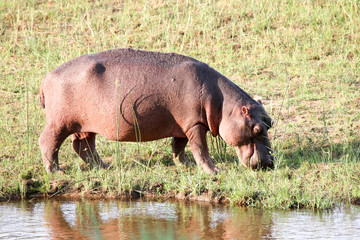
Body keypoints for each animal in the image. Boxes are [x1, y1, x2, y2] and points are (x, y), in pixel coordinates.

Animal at [38, 48, 272, 174]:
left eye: (270, 122)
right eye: (257, 129)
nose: (270, 163)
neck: (225, 105)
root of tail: (47, 77)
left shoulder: (183, 126)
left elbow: (179, 147)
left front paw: (184, 165)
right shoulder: (194, 124)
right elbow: (200, 149)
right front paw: (213, 171)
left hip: (85, 125)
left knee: (83, 146)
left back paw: (104, 167)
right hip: (59, 123)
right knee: (48, 142)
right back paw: (55, 171)